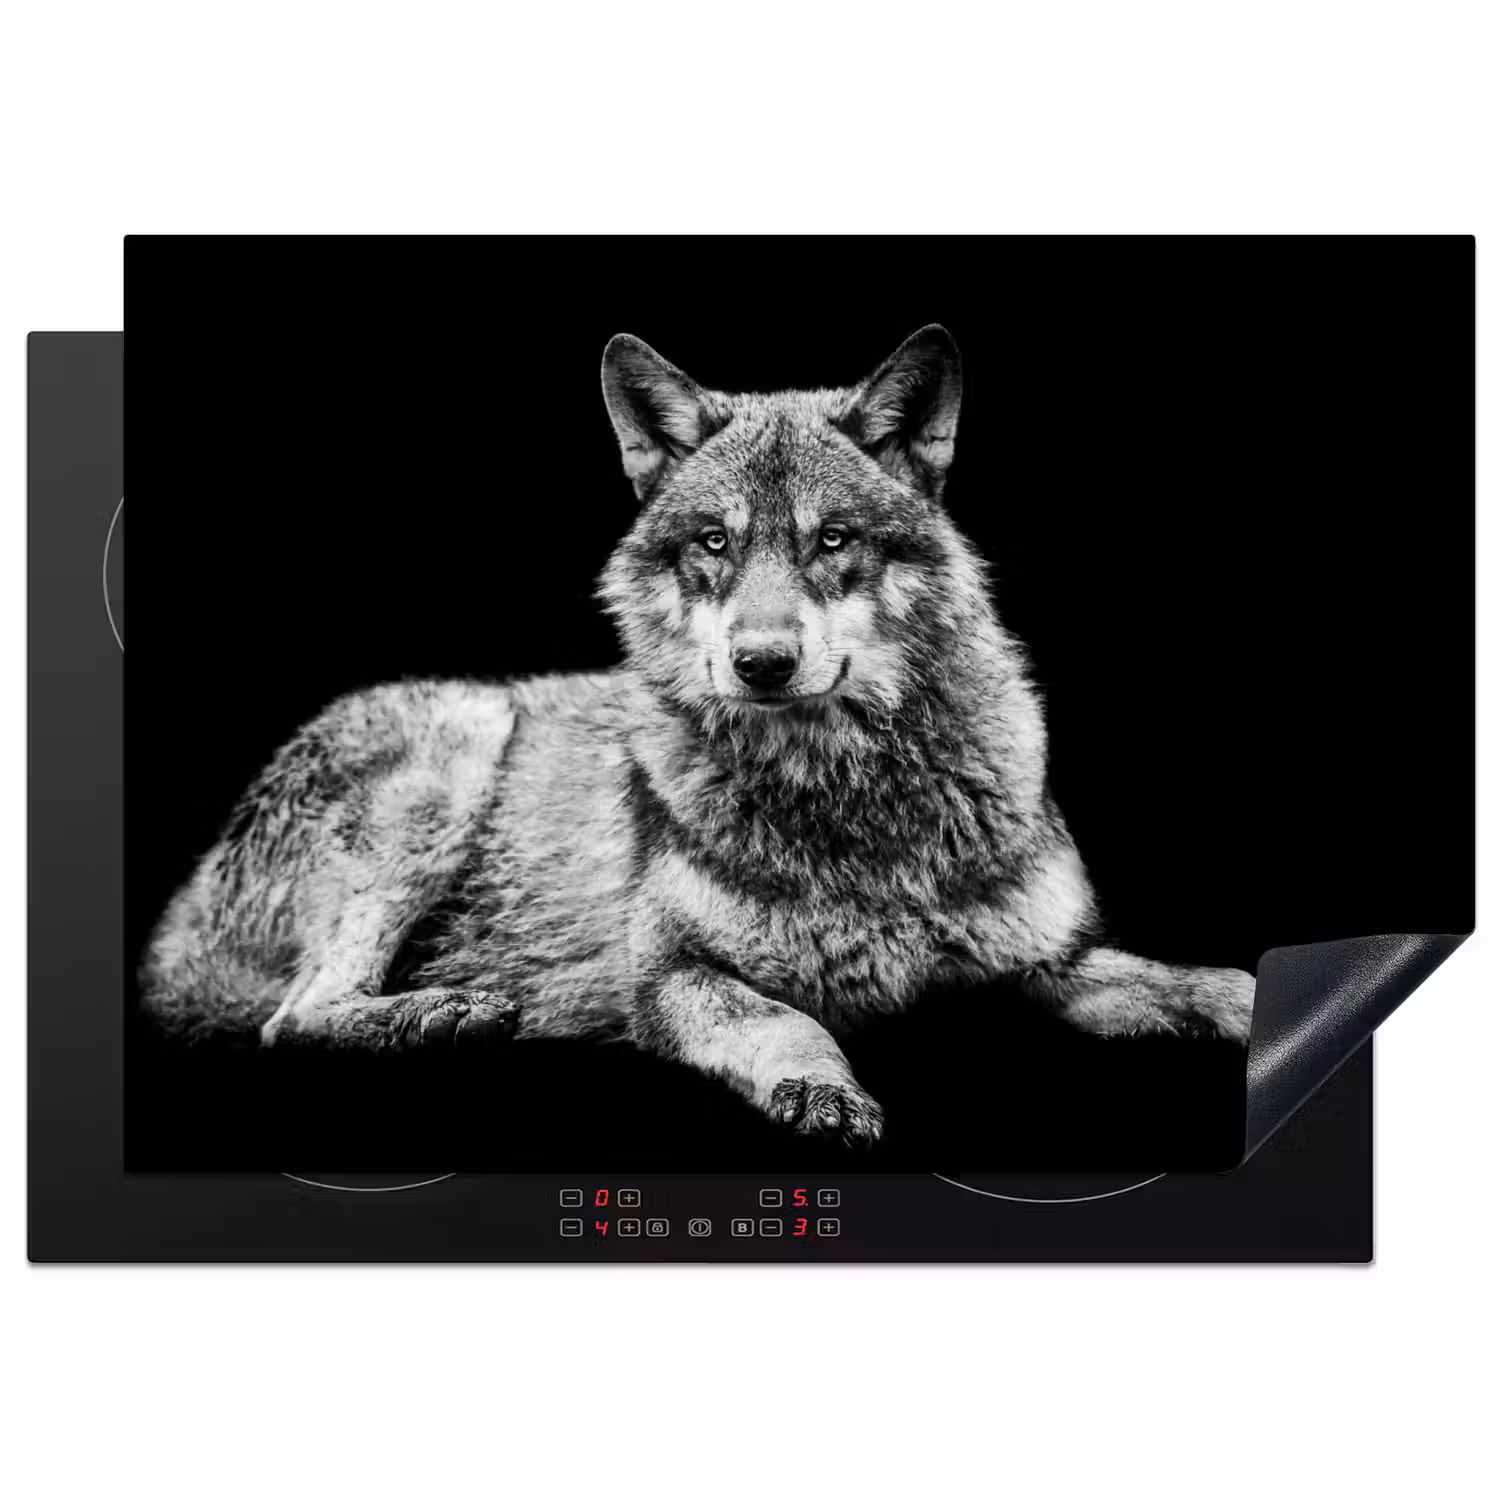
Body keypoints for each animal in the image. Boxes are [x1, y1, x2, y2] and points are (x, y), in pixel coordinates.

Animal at [141, 326, 1254, 1146]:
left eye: (832, 540)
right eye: (714, 542)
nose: (761, 663)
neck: (849, 801)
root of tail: (182, 914)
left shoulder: (1050, 963)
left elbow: (1204, 981)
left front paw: (1250, 1005)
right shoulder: (669, 978)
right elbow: (784, 1017)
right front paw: (823, 1089)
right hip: (454, 754)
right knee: (292, 1019)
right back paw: (446, 1013)